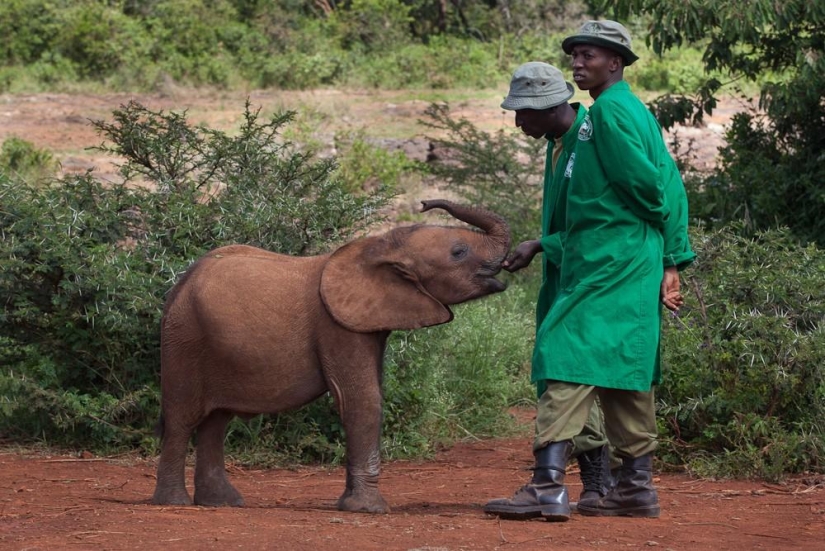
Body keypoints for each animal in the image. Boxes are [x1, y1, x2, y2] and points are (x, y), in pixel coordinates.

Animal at [150, 199, 511, 513]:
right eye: (459, 252)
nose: (426, 203)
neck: (380, 245)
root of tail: (180, 285)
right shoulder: (336, 325)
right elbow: (362, 399)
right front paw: (369, 509)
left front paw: (350, 504)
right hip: (184, 339)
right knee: (182, 418)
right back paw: (175, 503)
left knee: (216, 421)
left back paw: (222, 503)